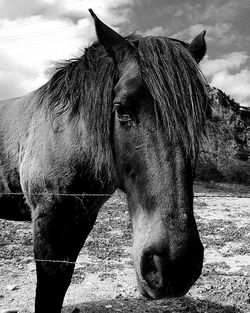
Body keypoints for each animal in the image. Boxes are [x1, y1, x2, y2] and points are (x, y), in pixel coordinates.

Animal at [0, 9, 209, 312]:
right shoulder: (47, 219)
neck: (67, 134)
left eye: (203, 116)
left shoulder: (81, 218)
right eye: (121, 109)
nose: (173, 265)